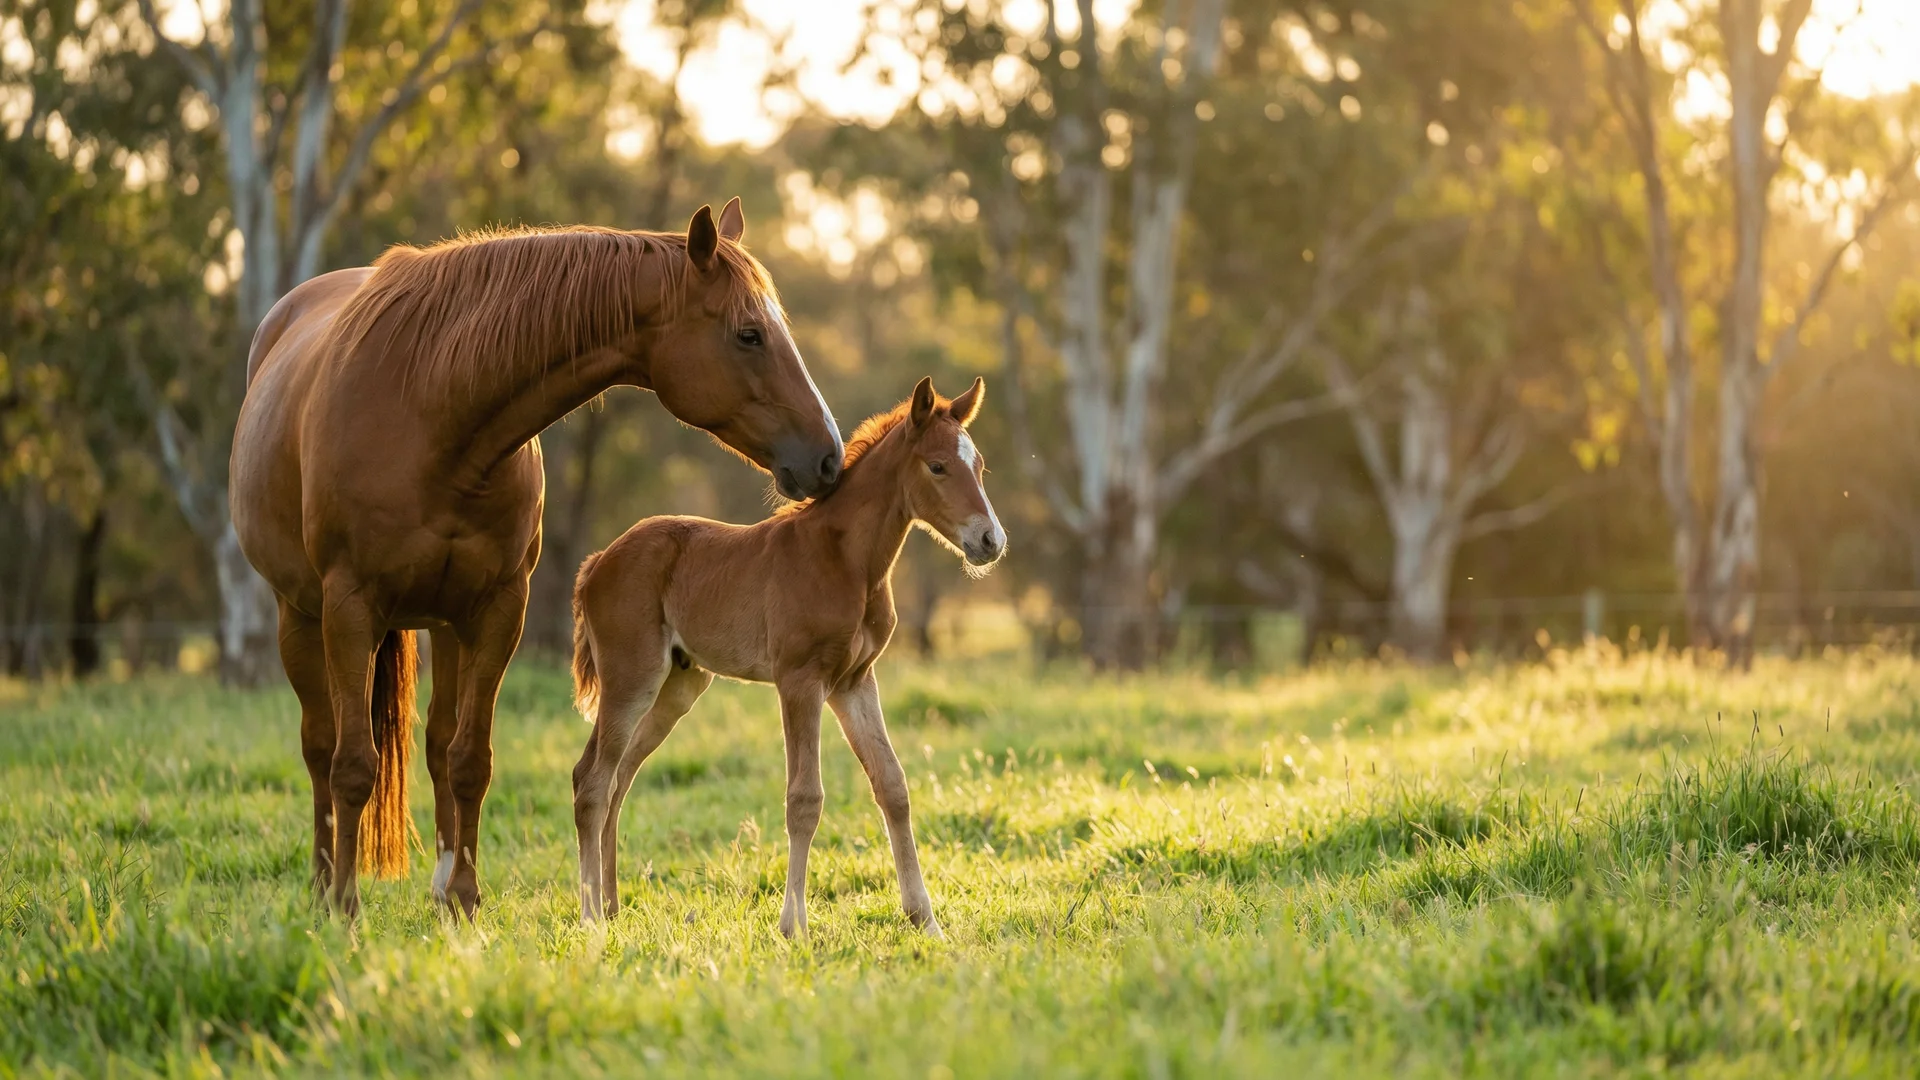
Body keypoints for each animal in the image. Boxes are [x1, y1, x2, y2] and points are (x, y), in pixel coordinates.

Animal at [230, 199, 844, 919]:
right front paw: (345, 912)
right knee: (321, 745)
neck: (430, 410)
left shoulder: (499, 609)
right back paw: (324, 882)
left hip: (444, 623)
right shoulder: (350, 609)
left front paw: (465, 900)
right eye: (749, 335)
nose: (828, 457)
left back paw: (437, 883)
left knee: (437, 745)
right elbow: (354, 763)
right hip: (298, 616)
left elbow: (471, 760)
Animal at [568, 376, 1004, 936]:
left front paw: (924, 919)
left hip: (678, 686)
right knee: (593, 781)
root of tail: (600, 560)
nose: (990, 540)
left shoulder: (854, 682)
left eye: (980, 466)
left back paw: (612, 905)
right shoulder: (800, 680)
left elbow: (893, 786)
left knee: (618, 777)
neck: (845, 561)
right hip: (631, 679)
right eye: (937, 466)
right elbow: (804, 799)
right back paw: (590, 918)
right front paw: (794, 923)